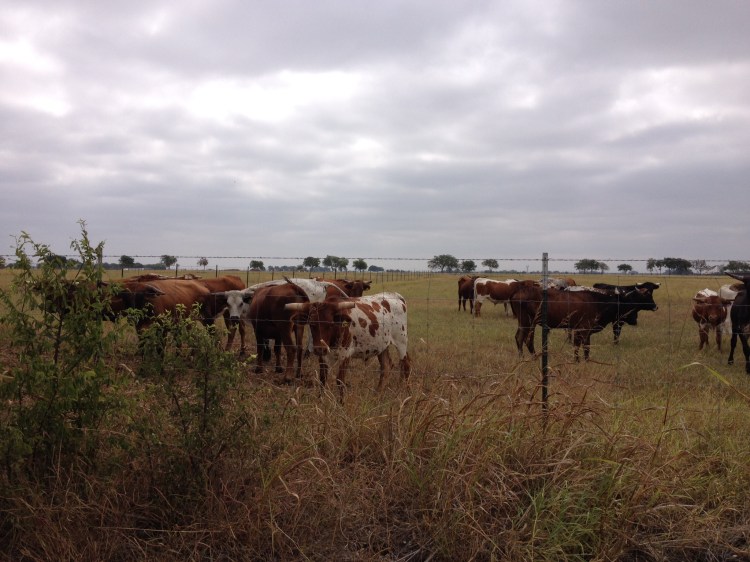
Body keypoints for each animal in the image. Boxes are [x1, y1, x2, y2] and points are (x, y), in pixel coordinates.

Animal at [510, 283, 658, 361]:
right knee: (525, 339)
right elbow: (586, 348)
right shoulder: (585, 330)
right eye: (646, 295)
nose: (655, 306)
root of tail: (516, 293)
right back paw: (530, 358)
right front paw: (585, 361)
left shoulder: (577, 330)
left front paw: (576, 361)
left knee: (521, 338)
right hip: (528, 321)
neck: (599, 302)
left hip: (526, 323)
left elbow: (576, 346)